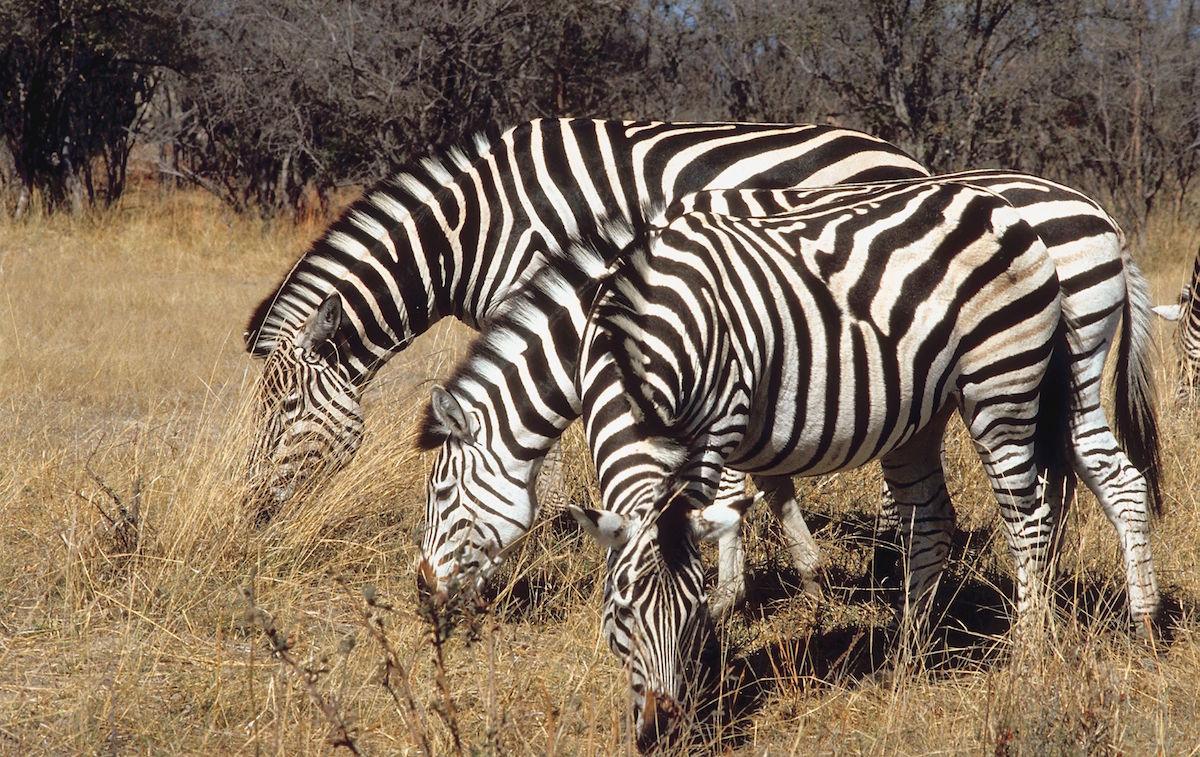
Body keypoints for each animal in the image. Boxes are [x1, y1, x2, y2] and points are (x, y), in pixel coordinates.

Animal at [415, 172, 1161, 628]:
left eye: (441, 494)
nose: (422, 596)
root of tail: (1099, 215)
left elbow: (724, 505)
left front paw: (727, 600)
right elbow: (766, 490)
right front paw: (803, 581)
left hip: (1039, 367)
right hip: (1052, 386)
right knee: (1106, 479)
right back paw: (1134, 617)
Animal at [566, 181, 1084, 748]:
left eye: (690, 616)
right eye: (621, 611)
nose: (662, 734)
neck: (640, 335)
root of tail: (999, 205)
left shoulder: (722, 421)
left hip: (1001, 386)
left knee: (1029, 520)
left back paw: (1026, 658)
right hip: (924, 415)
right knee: (932, 521)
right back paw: (905, 659)